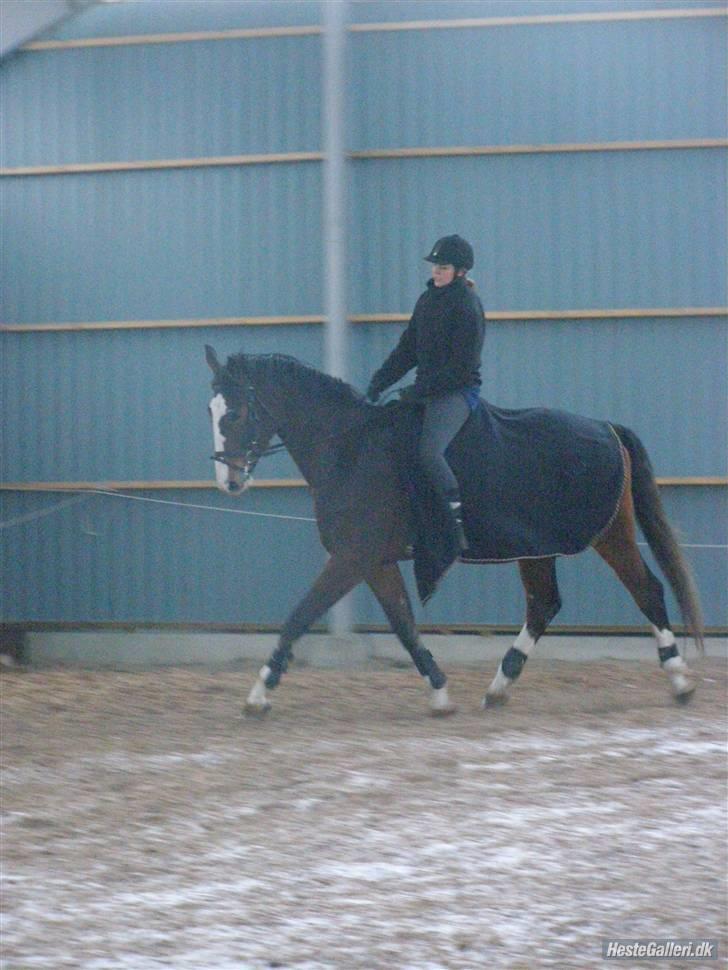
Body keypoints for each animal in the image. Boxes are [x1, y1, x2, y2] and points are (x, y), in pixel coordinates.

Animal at [206, 344, 704, 716]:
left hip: (610, 533)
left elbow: (301, 615)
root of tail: (607, 428)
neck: (352, 449)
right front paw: (440, 692)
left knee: (646, 590)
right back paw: (499, 687)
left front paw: (258, 694)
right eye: (210, 410)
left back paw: (679, 679)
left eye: (234, 415)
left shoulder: (352, 557)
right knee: (544, 604)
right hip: (536, 548)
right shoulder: (374, 560)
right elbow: (403, 624)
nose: (229, 481)